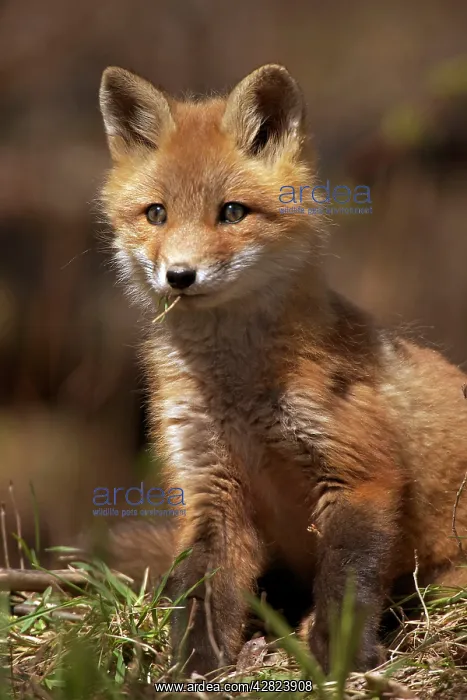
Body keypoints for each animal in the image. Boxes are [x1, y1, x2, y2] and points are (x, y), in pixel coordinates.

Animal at [98, 63, 467, 676]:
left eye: (231, 212)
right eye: (156, 214)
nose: (179, 275)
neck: (238, 395)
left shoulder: (359, 472)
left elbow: (346, 581)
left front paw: (341, 656)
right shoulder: (210, 488)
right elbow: (199, 591)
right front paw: (194, 667)